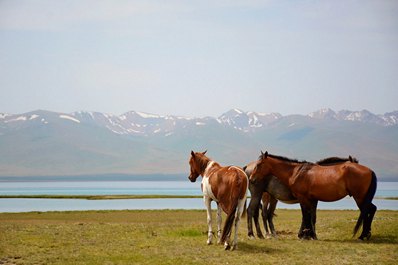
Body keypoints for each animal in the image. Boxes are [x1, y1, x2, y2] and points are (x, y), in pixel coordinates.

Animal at [250, 151, 378, 239]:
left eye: (259, 164)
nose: (251, 179)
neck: (296, 172)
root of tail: (370, 171)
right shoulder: (310, 199)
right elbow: (309, 216)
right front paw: (309, 234)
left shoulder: (304, 198)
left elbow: (306, 215)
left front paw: (306, 235)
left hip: (360, 198)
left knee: (368, 210)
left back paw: (363, 235)